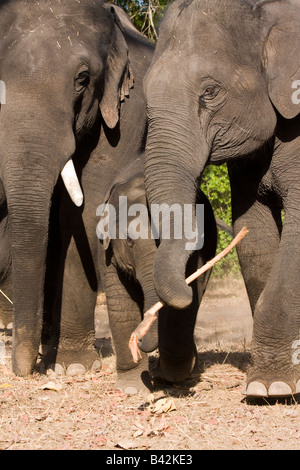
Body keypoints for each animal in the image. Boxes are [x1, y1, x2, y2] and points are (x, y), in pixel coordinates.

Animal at [97, 155, 217, 392]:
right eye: (129, 240)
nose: (139, 339)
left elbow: (181, 311)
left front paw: (173, 376)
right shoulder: (108, 252)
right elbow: (121, 304)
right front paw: (131, 388)